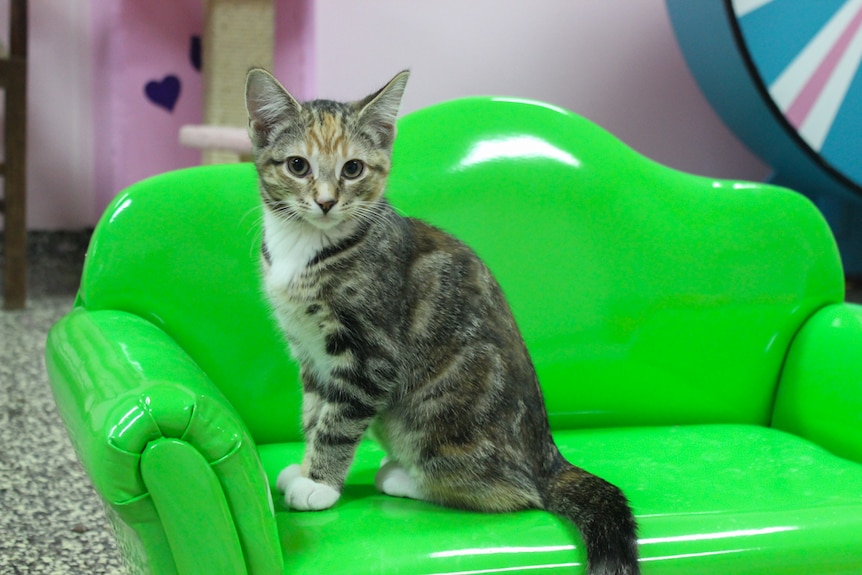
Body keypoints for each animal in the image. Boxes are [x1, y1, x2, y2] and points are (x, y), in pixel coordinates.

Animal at [246, 68, 636, 575]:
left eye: (352, 169)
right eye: (297, 165)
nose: (327, 202)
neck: (309, 247)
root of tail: (545, 455)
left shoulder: (370, 353)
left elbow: (339, 419)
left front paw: (319, 484)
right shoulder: (311, 353)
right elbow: (316, 411)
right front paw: (307, 465)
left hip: (435, 409)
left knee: (515, 492)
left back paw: (405, 479)